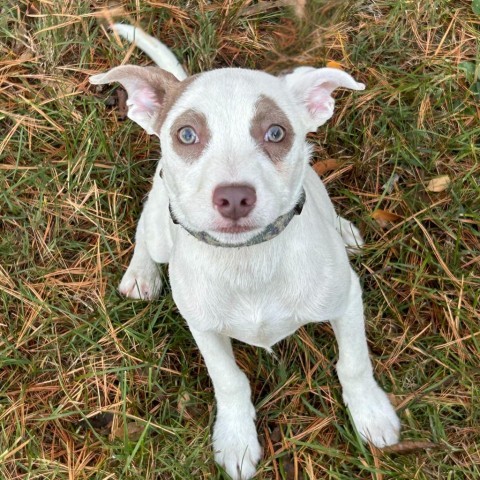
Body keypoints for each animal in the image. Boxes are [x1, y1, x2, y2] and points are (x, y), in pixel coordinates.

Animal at [91, 25, 402, 480]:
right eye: (187, 135)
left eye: (276, 133)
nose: (235, 198)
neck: (247, 261)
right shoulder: (203, 326)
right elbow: (229, 380)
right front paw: (236, 438)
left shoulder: (346, 300)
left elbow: (354, 362)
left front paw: (372, 414)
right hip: (160, 225)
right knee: (145, 229)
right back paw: (141, 273)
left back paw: (343, 229)